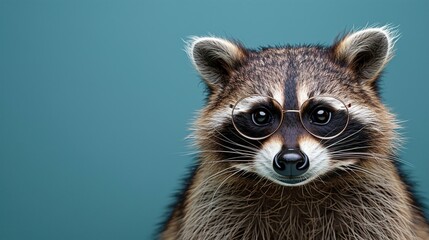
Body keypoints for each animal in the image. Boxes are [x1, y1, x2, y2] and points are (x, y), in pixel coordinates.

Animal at [158, 26, 428, 240]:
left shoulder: (377, 204)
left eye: (321, 115)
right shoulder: (213, 207)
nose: (290, 160)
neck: (294, 191)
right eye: (261, 116)